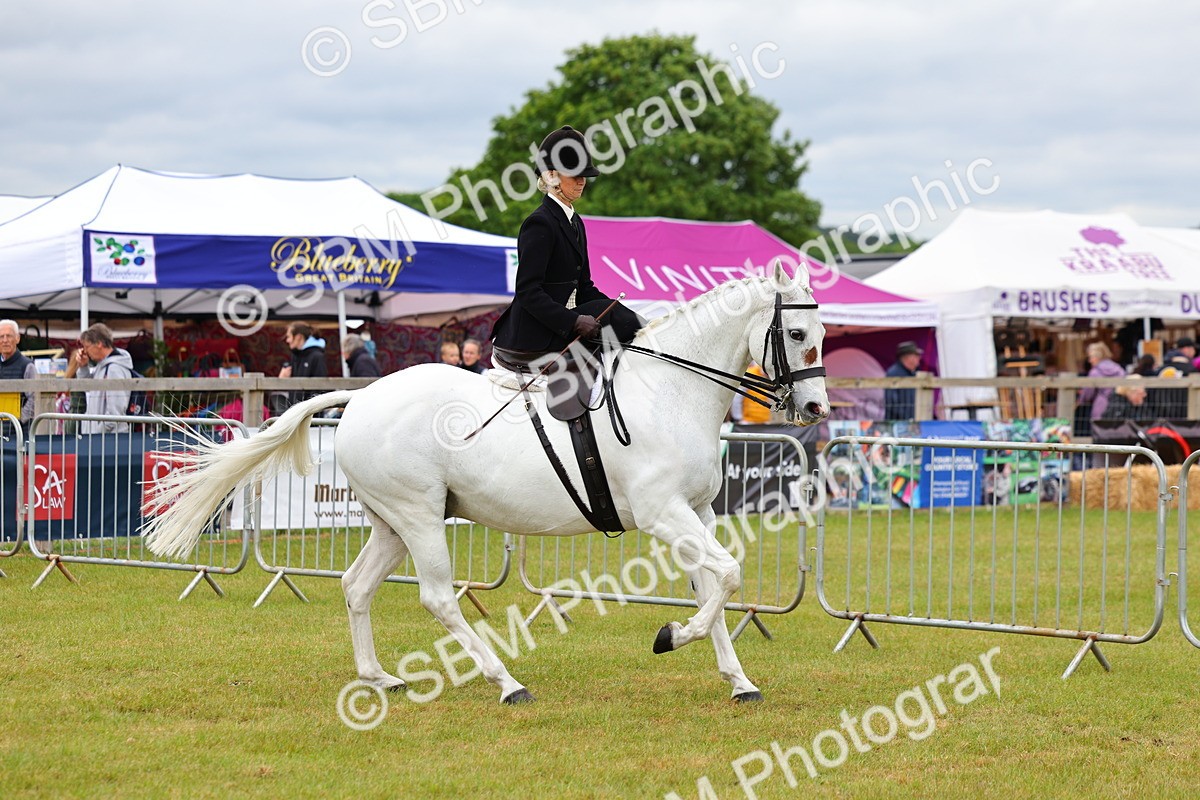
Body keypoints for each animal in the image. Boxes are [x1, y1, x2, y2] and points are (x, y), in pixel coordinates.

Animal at [144, 265, 829, 704]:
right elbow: (729, 574)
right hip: (419, 517)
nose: (816, 410)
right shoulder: (665, 514)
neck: (669, 392)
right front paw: (670, 636)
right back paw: (507, 683)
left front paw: (739, 682)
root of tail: (361, 397)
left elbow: (715, 584)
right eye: (796, 333)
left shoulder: (697, 513)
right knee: (438, 598)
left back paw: (379, 678)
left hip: (392, 522)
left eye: (821, 335)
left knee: (356, 585)